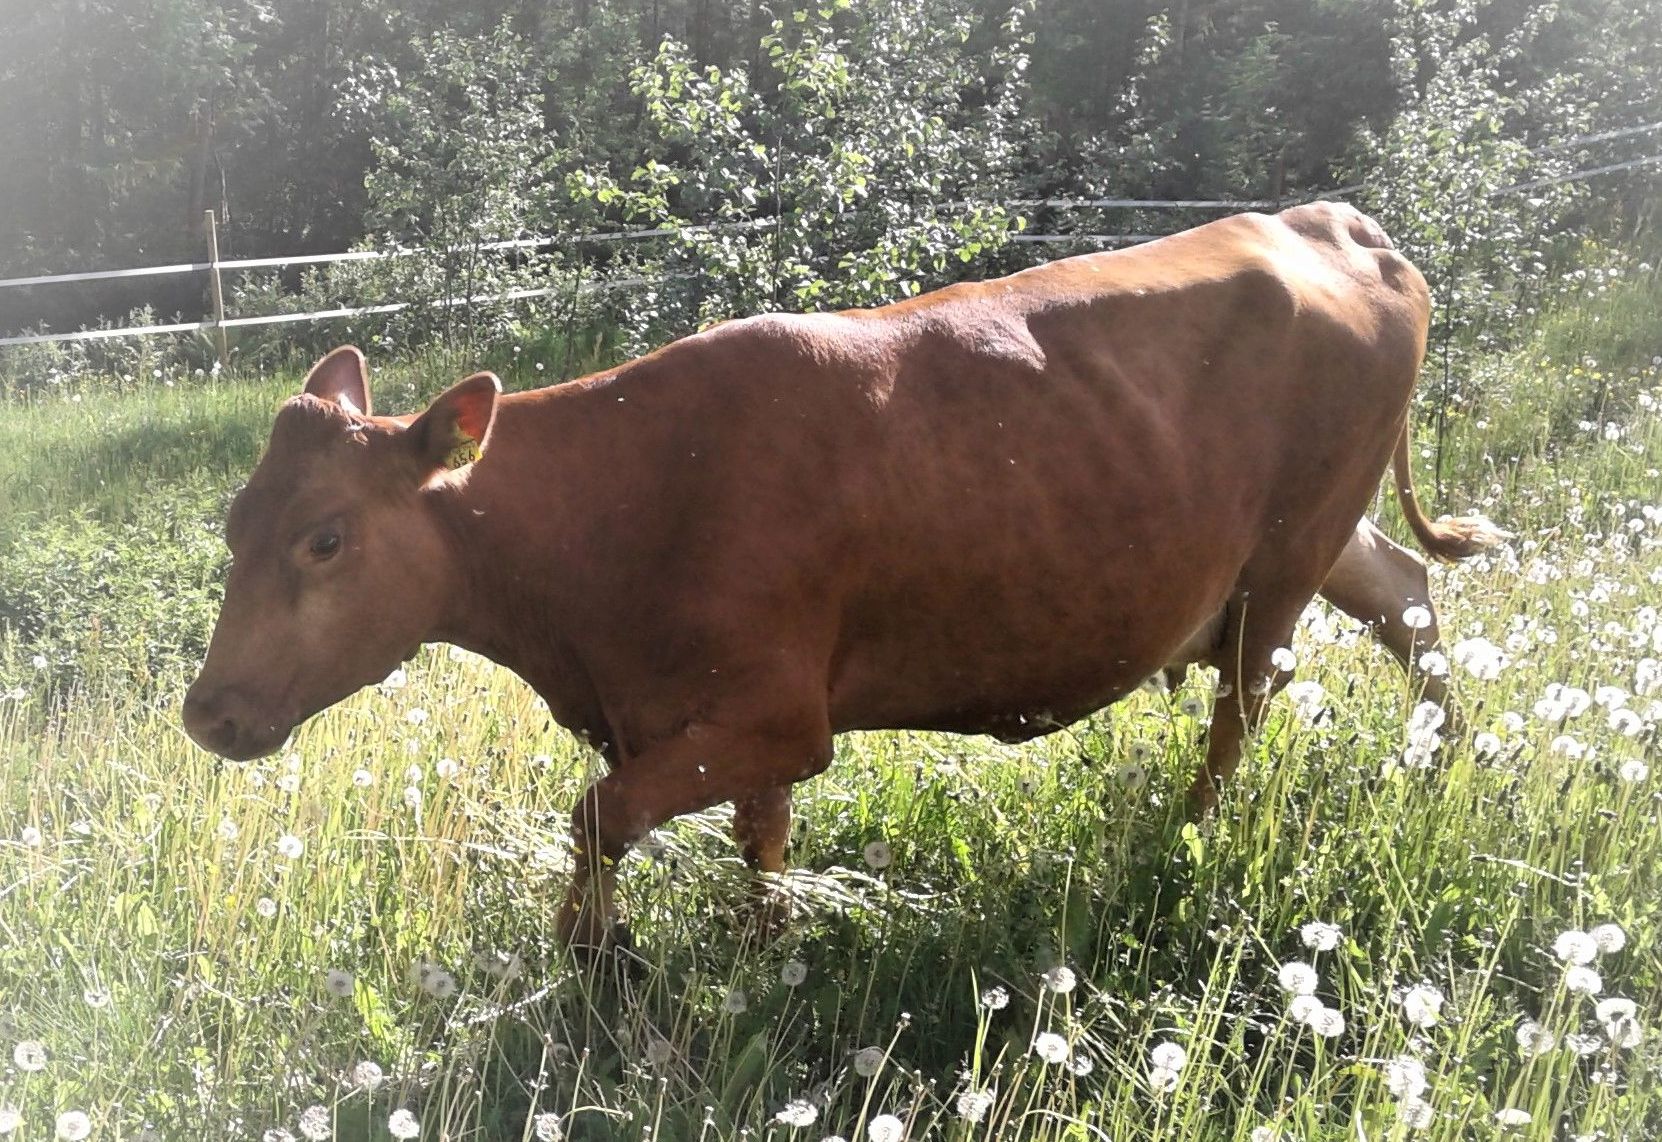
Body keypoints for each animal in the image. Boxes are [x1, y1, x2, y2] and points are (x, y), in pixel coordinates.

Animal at [182, 202, 1503, 946]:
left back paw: (1188, 837)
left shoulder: (777, 715)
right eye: (235, 522)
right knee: (1408, 598)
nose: (206, 712)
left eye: (324, 538)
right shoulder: (714, 721)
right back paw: (1440, 767)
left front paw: (593, 959)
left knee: (1244, 703)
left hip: (1286, 553)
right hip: (1318, 539)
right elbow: (756, 845)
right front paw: (765, 943)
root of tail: (1336, 222)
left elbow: (599, 816)